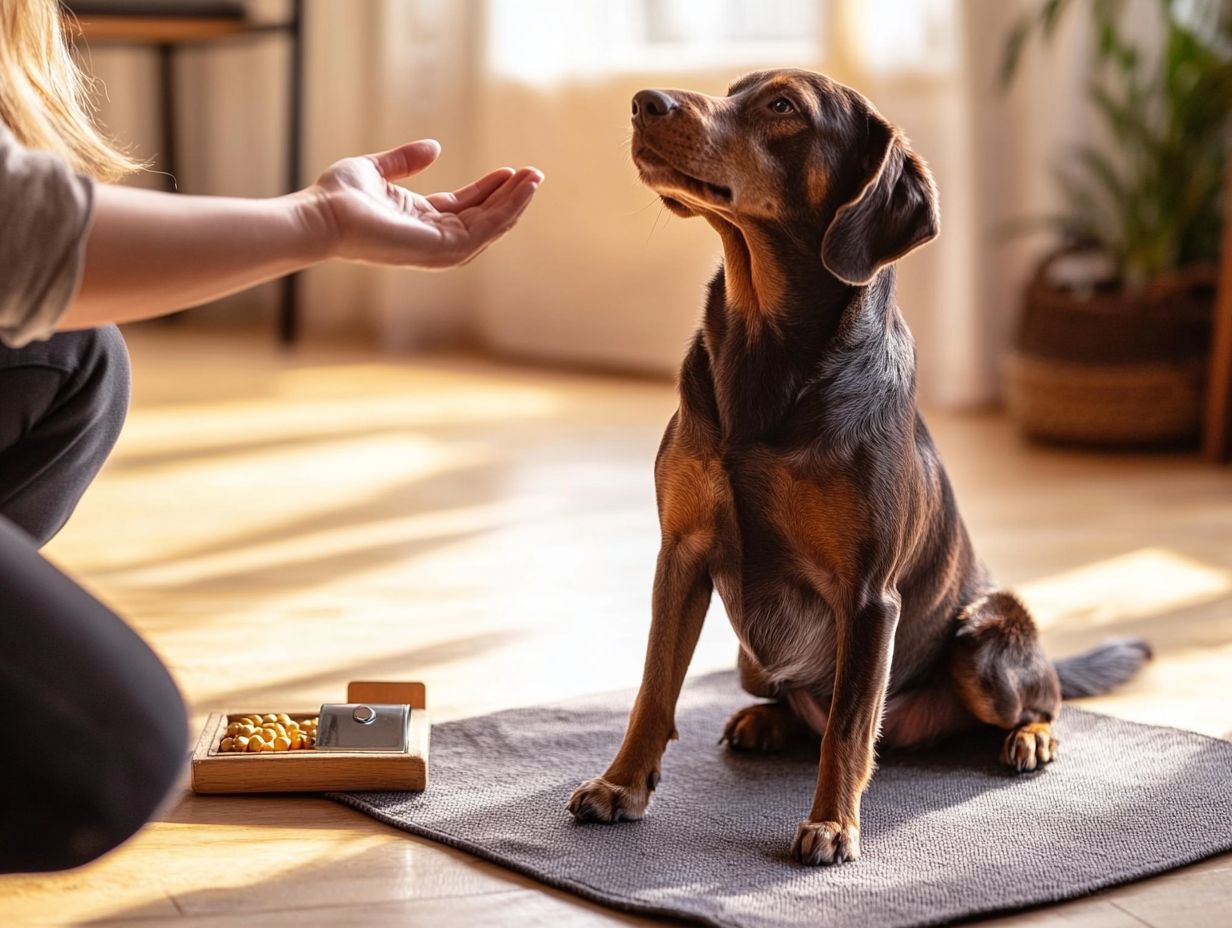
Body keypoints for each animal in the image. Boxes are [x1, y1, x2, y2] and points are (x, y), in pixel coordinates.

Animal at [566, 68, 1153, 867]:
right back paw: (765, 721)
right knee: (796, 702)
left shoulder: (869, 595)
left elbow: (847, 727)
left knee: (1036, 696)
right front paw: (621, 785)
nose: (643, 103)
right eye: (733, 88)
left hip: (983, 647)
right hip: (754, 656)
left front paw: (833, 825)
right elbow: (654, 688)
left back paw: (1031, 737)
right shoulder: (681, 556)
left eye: (783, 106)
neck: (767, 351)